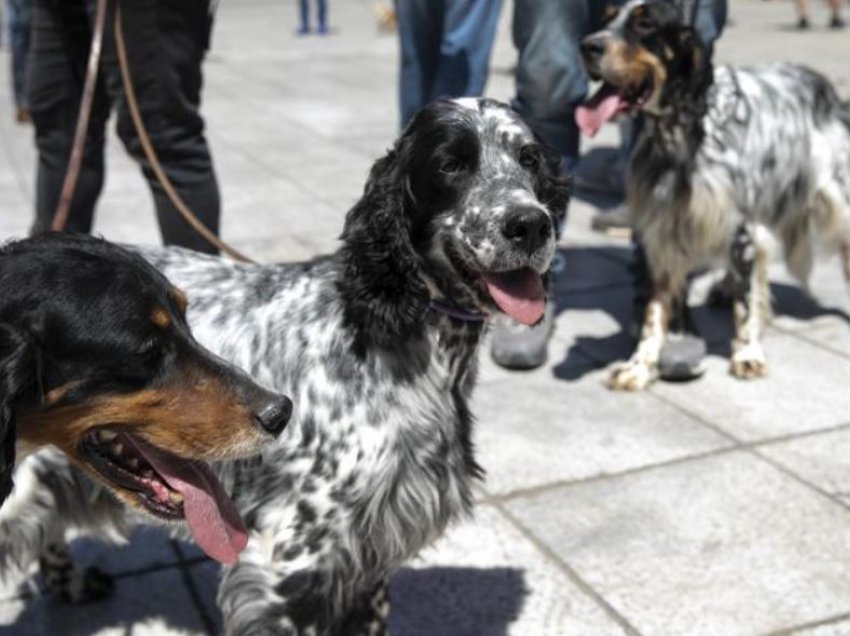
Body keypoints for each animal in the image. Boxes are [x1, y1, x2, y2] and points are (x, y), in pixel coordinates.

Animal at [4, 97, 568, 632]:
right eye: (451, 164)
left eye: (529, 159)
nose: (529, 224)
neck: (394, 334)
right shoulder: (293, 561)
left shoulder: (368, 555)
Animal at [576, 0, 848, 390]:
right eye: (607, 17)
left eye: (646, 24)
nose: (588, 46)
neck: (681, 132)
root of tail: (820, 81)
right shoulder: (662, 229)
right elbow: (655, 311)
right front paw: (640, 365)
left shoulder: (741, 227)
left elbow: (746, 303)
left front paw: (747, 354)